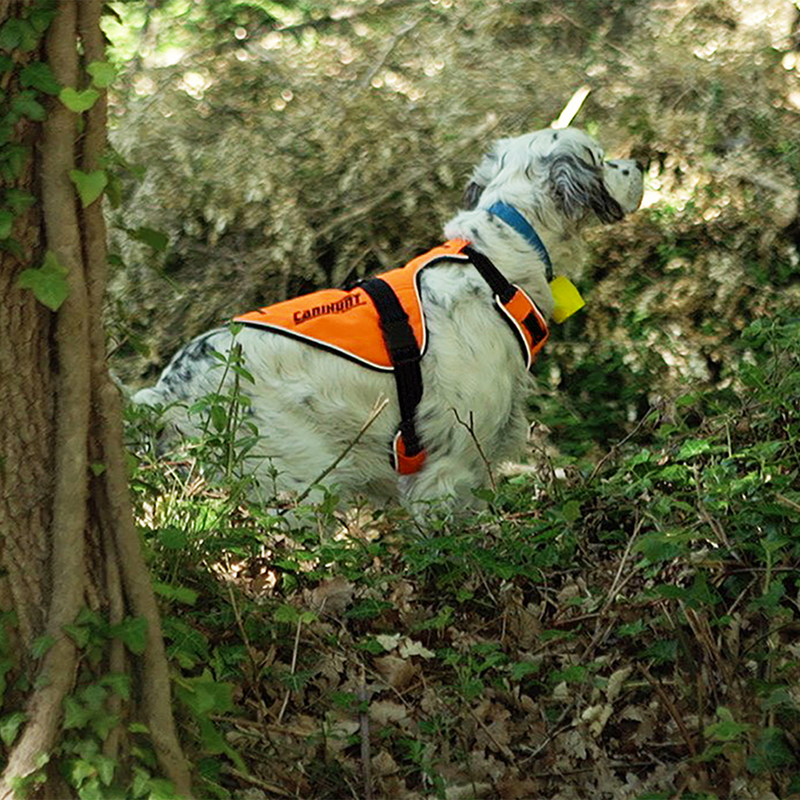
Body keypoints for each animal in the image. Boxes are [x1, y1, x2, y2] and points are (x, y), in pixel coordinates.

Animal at [133, 125, 644, 512]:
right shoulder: (449, 465)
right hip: (295, 477)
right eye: (601, 158)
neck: (493, 260)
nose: (638, 164)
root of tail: (168, 391)